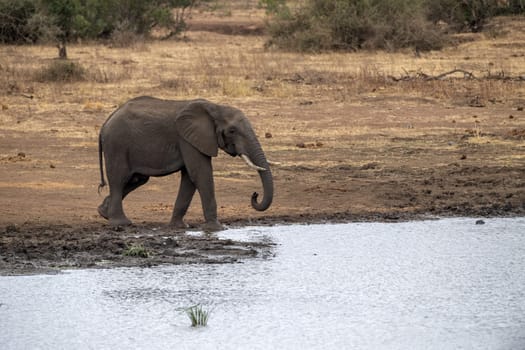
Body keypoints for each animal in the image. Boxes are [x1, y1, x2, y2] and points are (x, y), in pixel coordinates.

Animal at [96, 97, 274, 231]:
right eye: (232, 131)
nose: (255, 194)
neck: (215, 107)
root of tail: (105, 122)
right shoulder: (188, 140)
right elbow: (200, 173)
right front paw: (217, 229)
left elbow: (189, 178)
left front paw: (179, 227)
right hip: (117, 145)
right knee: (119, 179)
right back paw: (121, 223)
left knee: (136, 179)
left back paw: (104, 212)